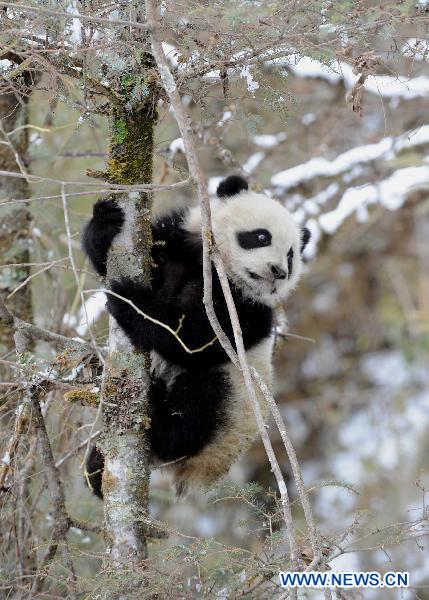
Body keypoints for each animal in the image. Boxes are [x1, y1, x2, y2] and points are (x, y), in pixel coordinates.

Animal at [82, 175, 310, 496]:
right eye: (261, 237)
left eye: (291, 256)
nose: (279, 272)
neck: (215, 268)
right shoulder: (177, 243)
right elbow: (109, 260)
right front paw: (105, 221)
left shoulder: (248, 311)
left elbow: (193, 339)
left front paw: (130, 300)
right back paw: (96, 470)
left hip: (234, 405)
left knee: (197, 410)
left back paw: (159, 417)